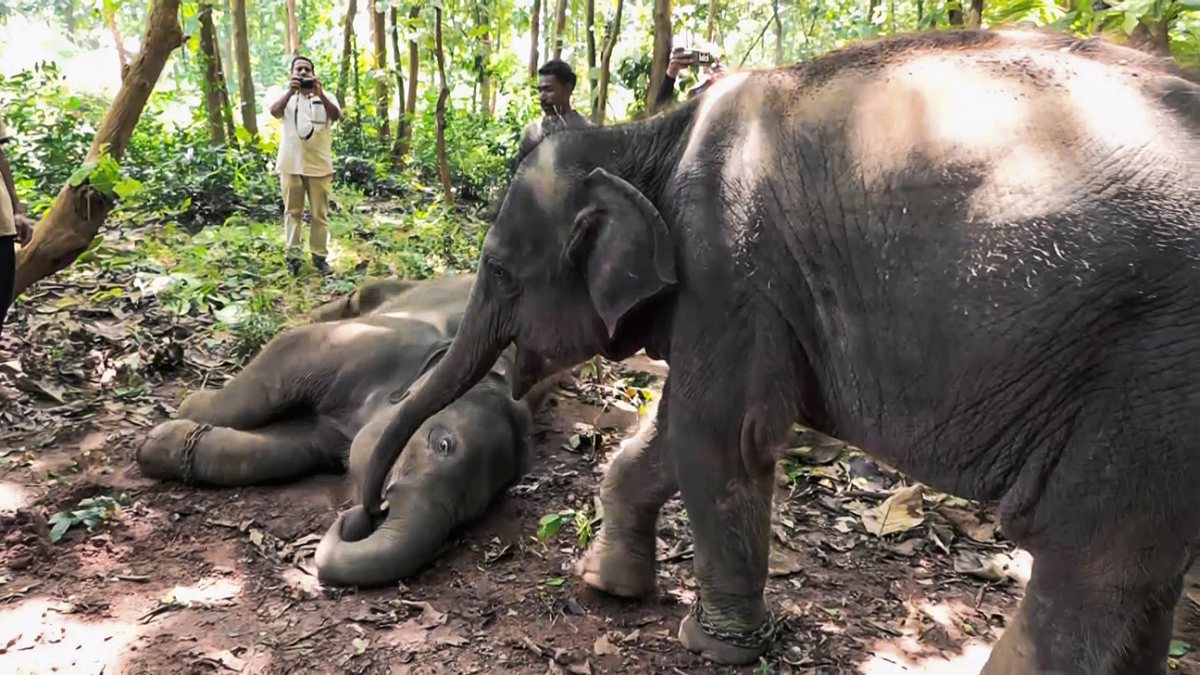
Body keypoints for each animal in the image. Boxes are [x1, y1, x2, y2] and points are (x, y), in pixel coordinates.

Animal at [135, 273, 554, 587]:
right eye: (443, 444)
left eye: (475, 510)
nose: (362, 514)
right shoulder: (367, 346)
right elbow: (285, 355)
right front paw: (189, 407)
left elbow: (286, 448)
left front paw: (156, 447)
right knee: (355, 298)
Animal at [352, 28, 1200, 673]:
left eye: (497, 270)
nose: (365, 513)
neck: (644, 138)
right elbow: (672, 433)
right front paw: (605, 584)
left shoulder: (728, 263)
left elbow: (718, 436)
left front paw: (715, 646)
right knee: (1138, 578)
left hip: (1150, 375)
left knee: (1092, 563)